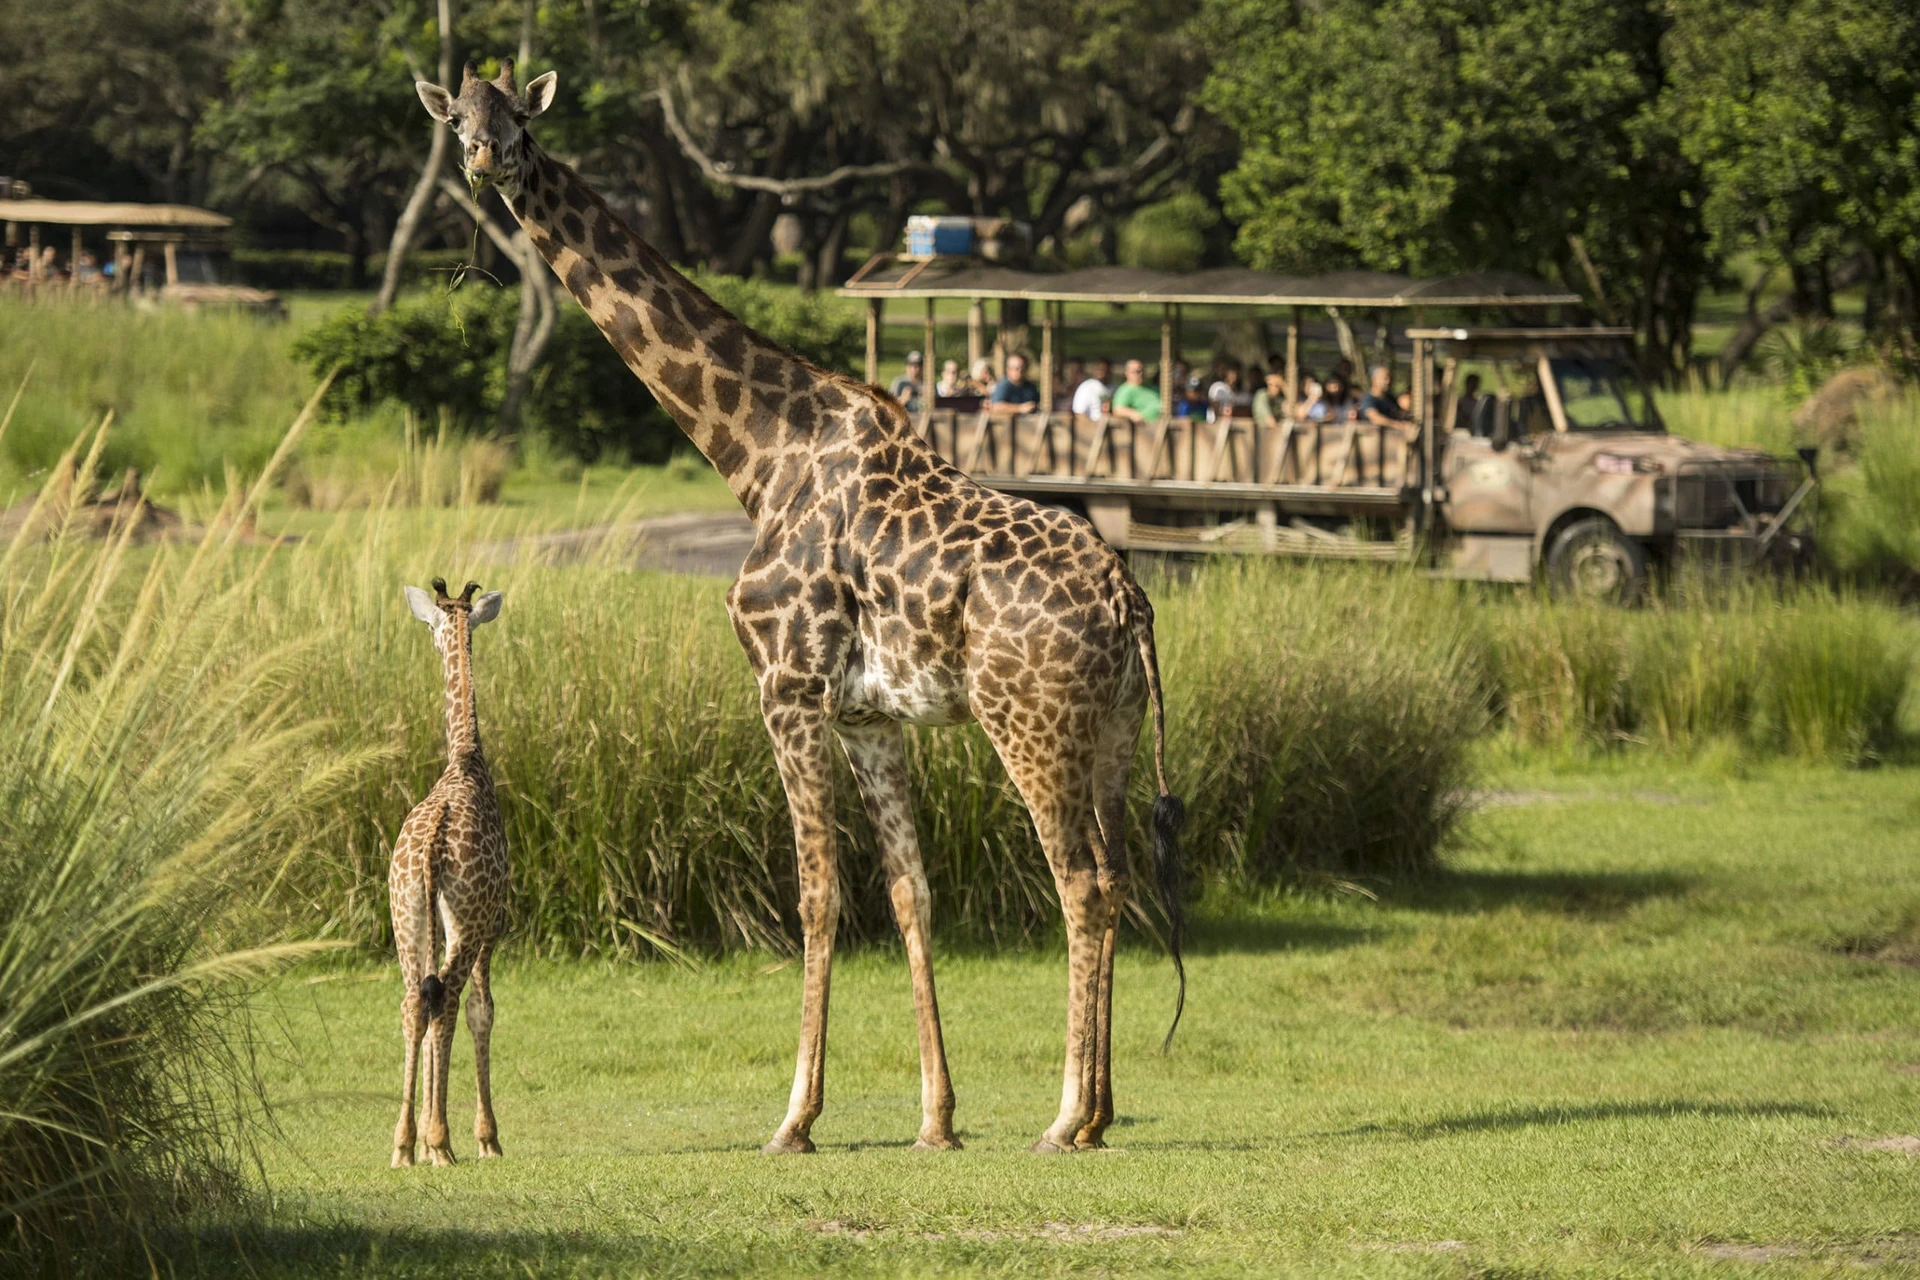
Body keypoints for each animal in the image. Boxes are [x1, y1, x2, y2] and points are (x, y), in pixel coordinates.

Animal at [416, 59, 1185, 1154]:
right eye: (459, 122)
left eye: (520, 118)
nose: (488, 162)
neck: (754, 455)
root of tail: (1131, 602)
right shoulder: (868, 715)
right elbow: (910, 893)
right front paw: (936, 1119)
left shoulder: (784, 687)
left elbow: (817, 894)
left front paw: (794, 1118)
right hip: (1111, 730)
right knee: (1116, 877)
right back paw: (1101, 1114)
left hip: (1027, 721)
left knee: (1077, 881)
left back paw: (1065, 1114)